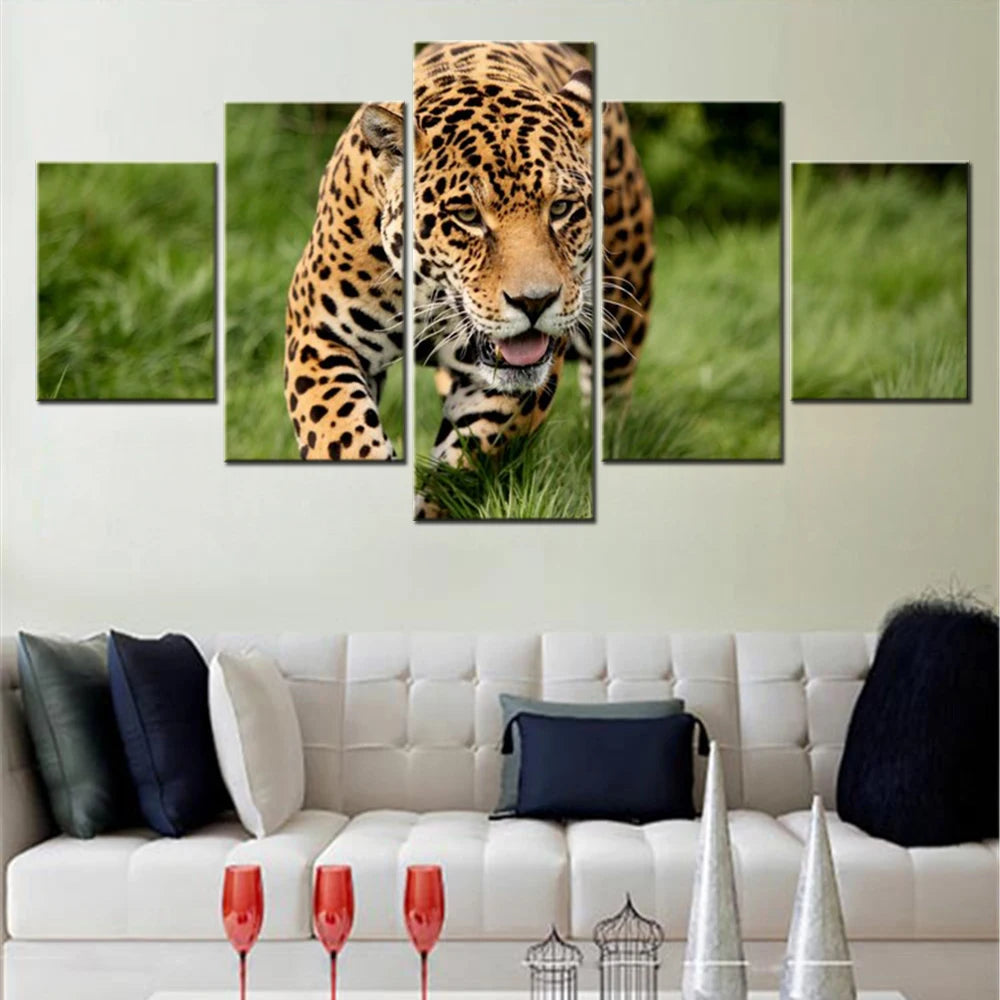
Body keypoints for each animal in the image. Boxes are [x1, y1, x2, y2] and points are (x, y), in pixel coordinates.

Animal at [283, 43, 655, 512]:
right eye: (467, 216)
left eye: (560, 208)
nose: (535, 302)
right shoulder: (319, 334)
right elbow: (342, 435)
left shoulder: (512, 387)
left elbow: (462, 463)